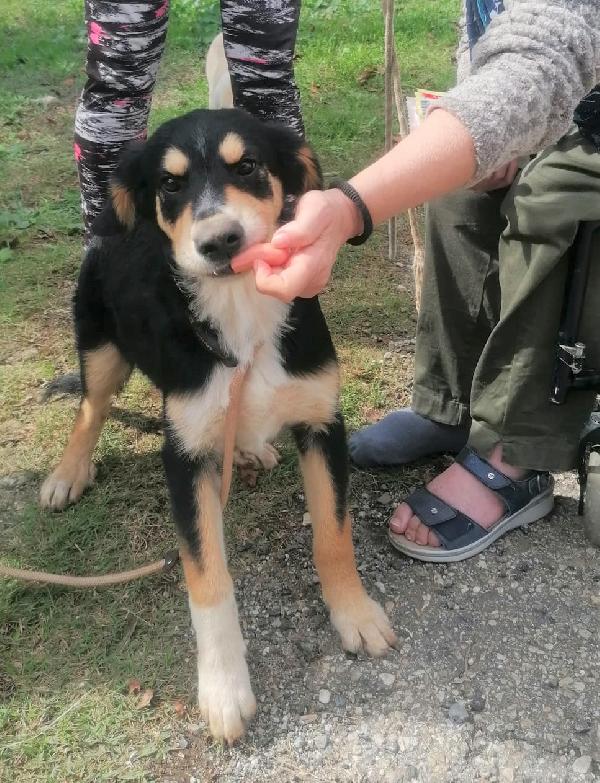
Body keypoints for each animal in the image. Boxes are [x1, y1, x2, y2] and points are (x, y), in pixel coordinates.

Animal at [39, 108, 396, 740]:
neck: (240, 312)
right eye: (170, 183)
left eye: (248, 165)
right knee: (90, 408)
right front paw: (225, 689)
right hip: (102, 345)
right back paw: (67, 473)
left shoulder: (323, 422)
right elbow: (208, 580)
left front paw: (354, 614)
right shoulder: (183, 457)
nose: (218, 241)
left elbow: (334, 535)